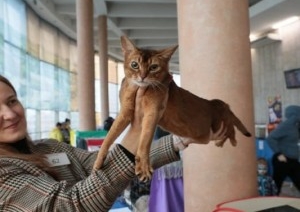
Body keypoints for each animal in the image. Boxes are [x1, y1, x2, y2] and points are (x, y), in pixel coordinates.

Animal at [93, 36, 251, 181]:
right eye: (134, 64)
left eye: (154, 67)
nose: (142, 76)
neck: (138, 89)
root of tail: (219, 103)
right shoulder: (125, 112)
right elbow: (109, 136)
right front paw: (98, 162)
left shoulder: (153, 112)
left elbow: (145, 139)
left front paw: (143, 167)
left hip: (222, 123)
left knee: (231, 131)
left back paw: (228, 141)